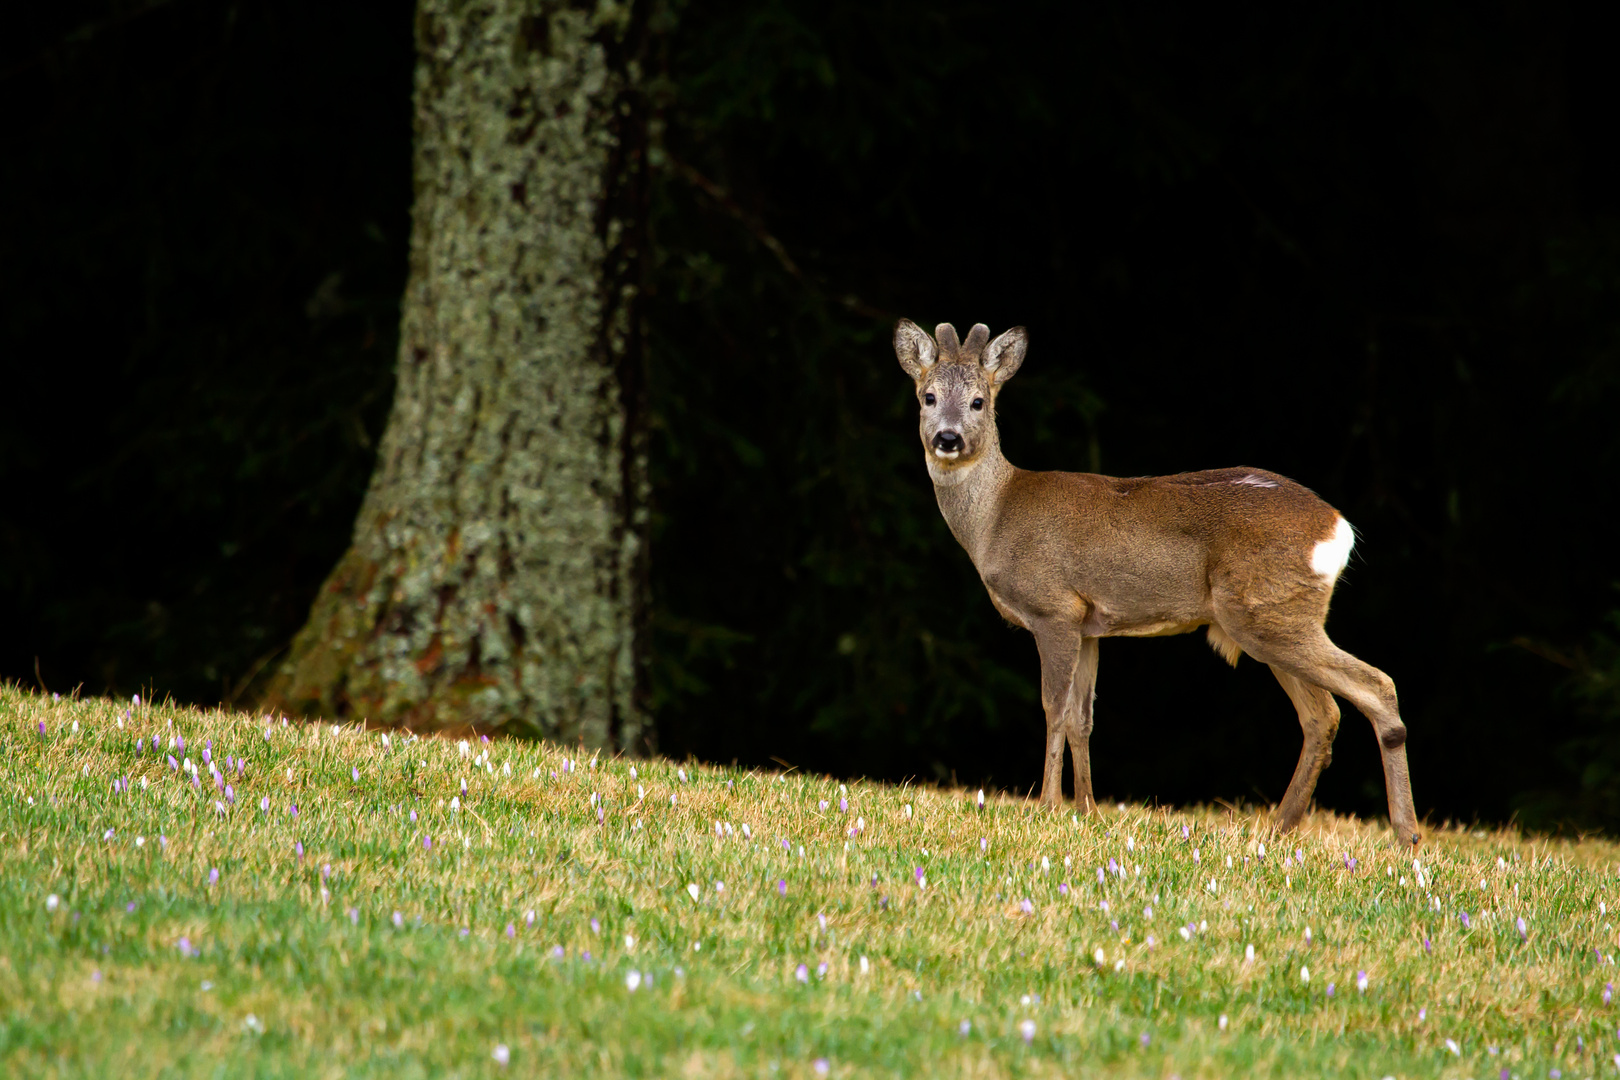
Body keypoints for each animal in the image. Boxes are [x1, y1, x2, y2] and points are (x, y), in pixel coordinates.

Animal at [900, 320, 1419, 841]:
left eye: (978, 402)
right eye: (928, 396)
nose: (948, 438)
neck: (995, 518)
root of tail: (1339, 529)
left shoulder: (1054, 608)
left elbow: (1053, 708)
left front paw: (1047, 807)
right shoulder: (1091, 624)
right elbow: (1082, 719)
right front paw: (1087, 809)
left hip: (1265, 612)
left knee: (1375, 687)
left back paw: (1405, 833)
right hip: (1270, 617)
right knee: (1322, 716)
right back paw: (1279, 827)